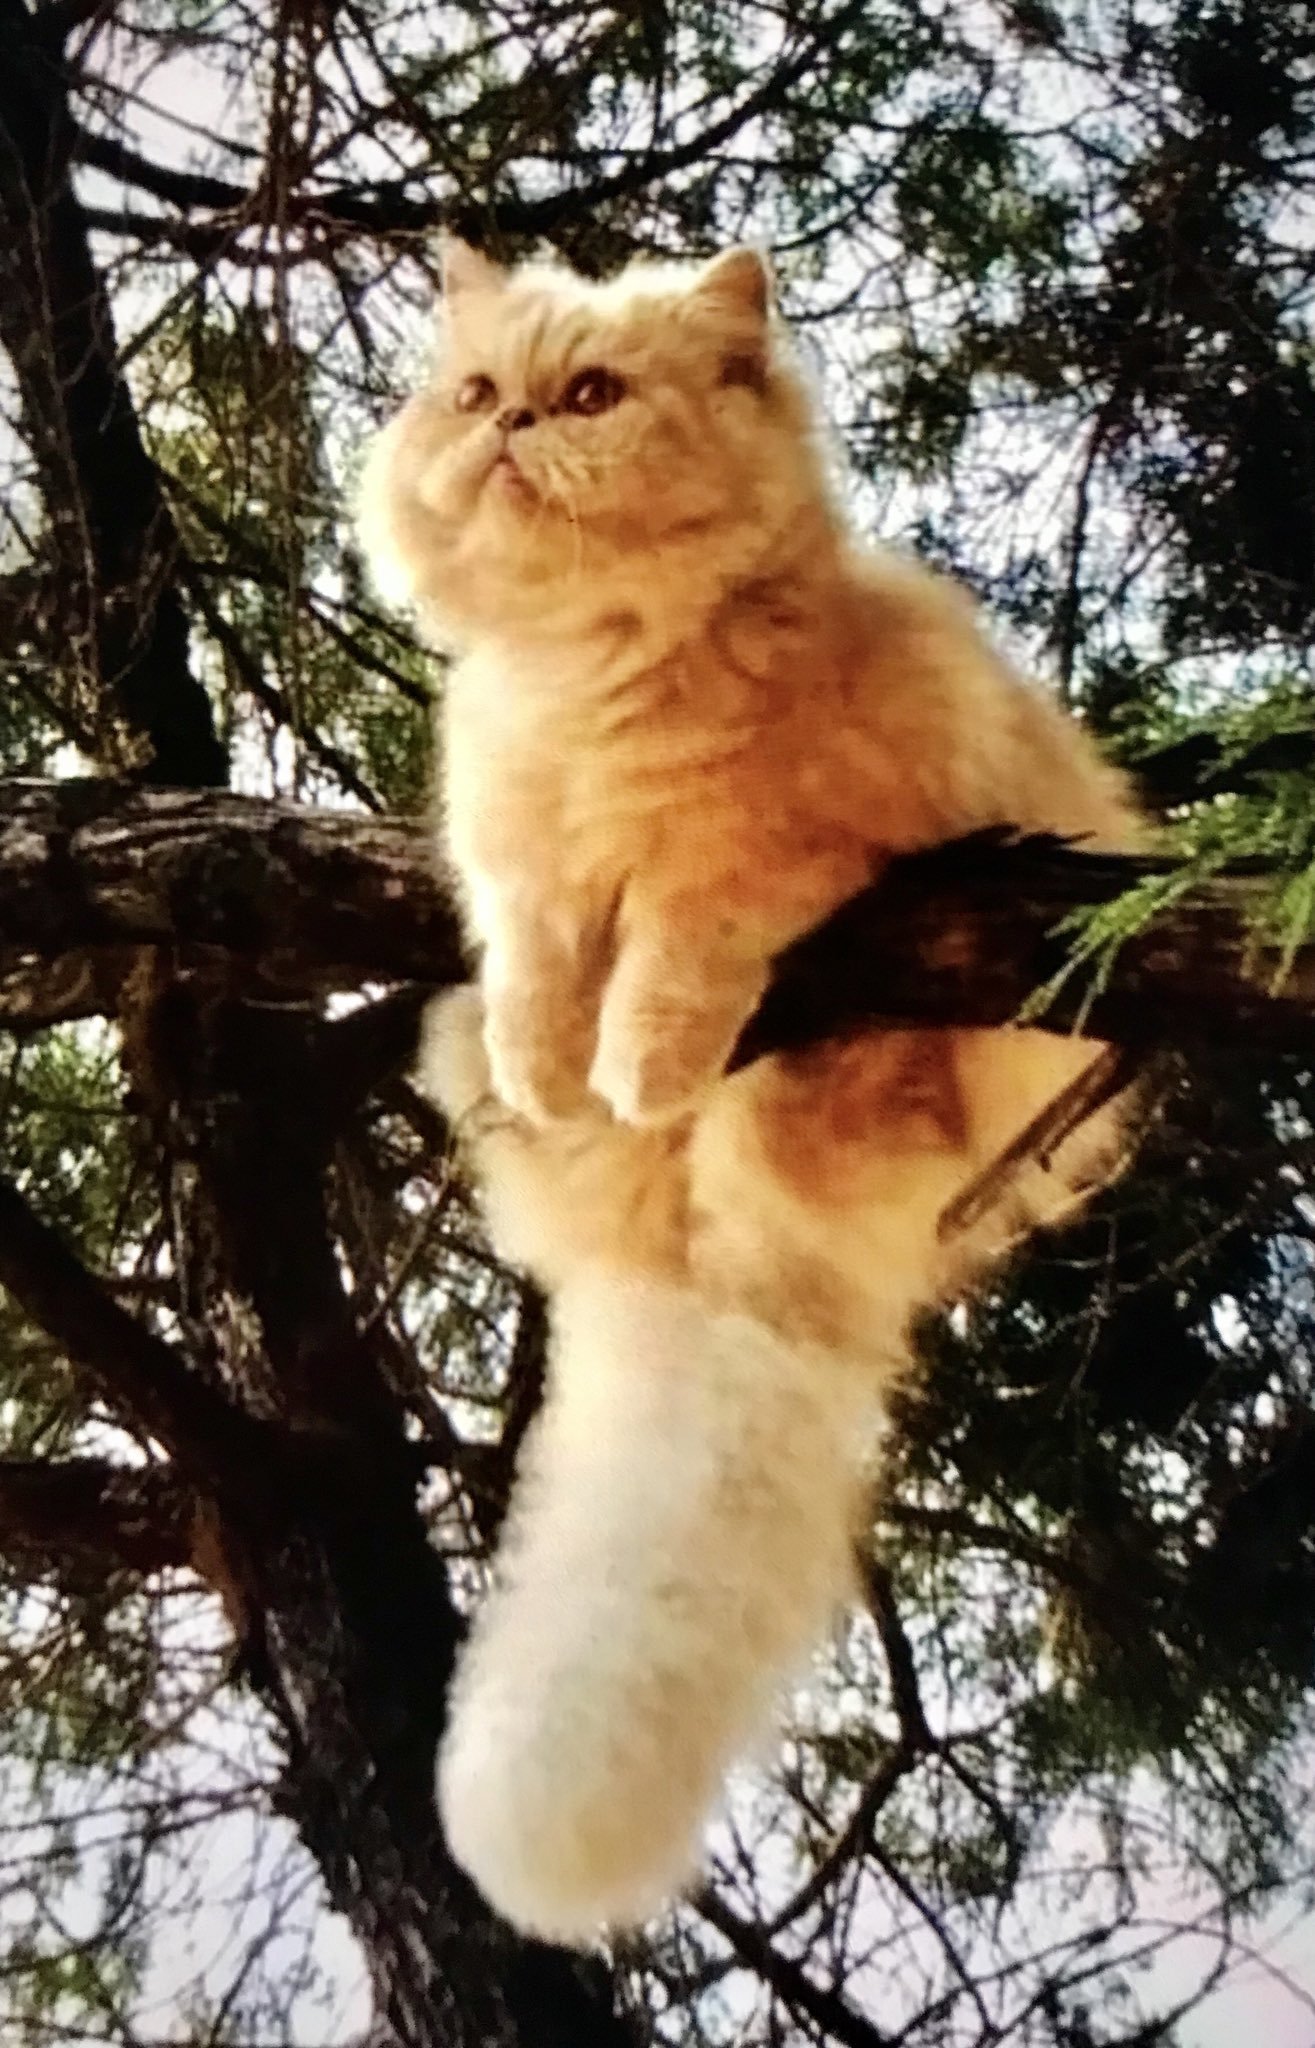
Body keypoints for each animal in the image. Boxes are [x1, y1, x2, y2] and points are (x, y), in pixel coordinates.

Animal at [356, 236, 1141, 1946]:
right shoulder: (518, 880)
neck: (584, 680)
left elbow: (672, 952)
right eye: (476, 390)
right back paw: (514, 1087)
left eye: (589, 393)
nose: (509, 424)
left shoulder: (774, 860)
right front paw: (552, 1067)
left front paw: (639, 1067)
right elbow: (535, 973)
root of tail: (709, 1267)